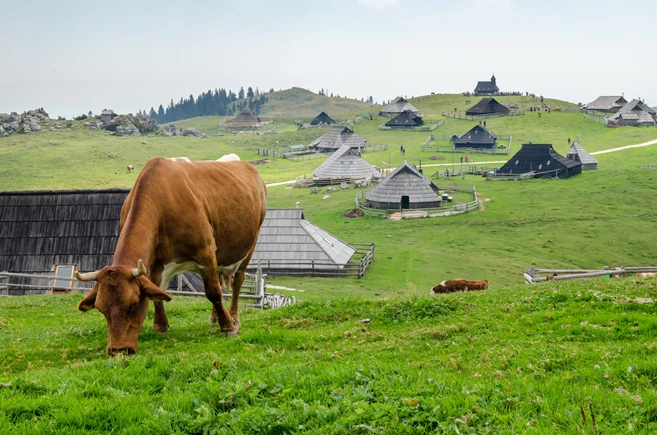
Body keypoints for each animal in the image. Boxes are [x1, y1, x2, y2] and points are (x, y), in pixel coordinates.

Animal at [78, 158, 268, 356]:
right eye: (101, 309)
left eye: (134, 304)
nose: (119, 350)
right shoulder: (155, 263)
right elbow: (157, 293)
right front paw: (160, 325)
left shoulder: (206, 251)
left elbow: (213, 292)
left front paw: (228, 327)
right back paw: (215, 316)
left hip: (251, 242)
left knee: (238, 280)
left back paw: (234, 316)